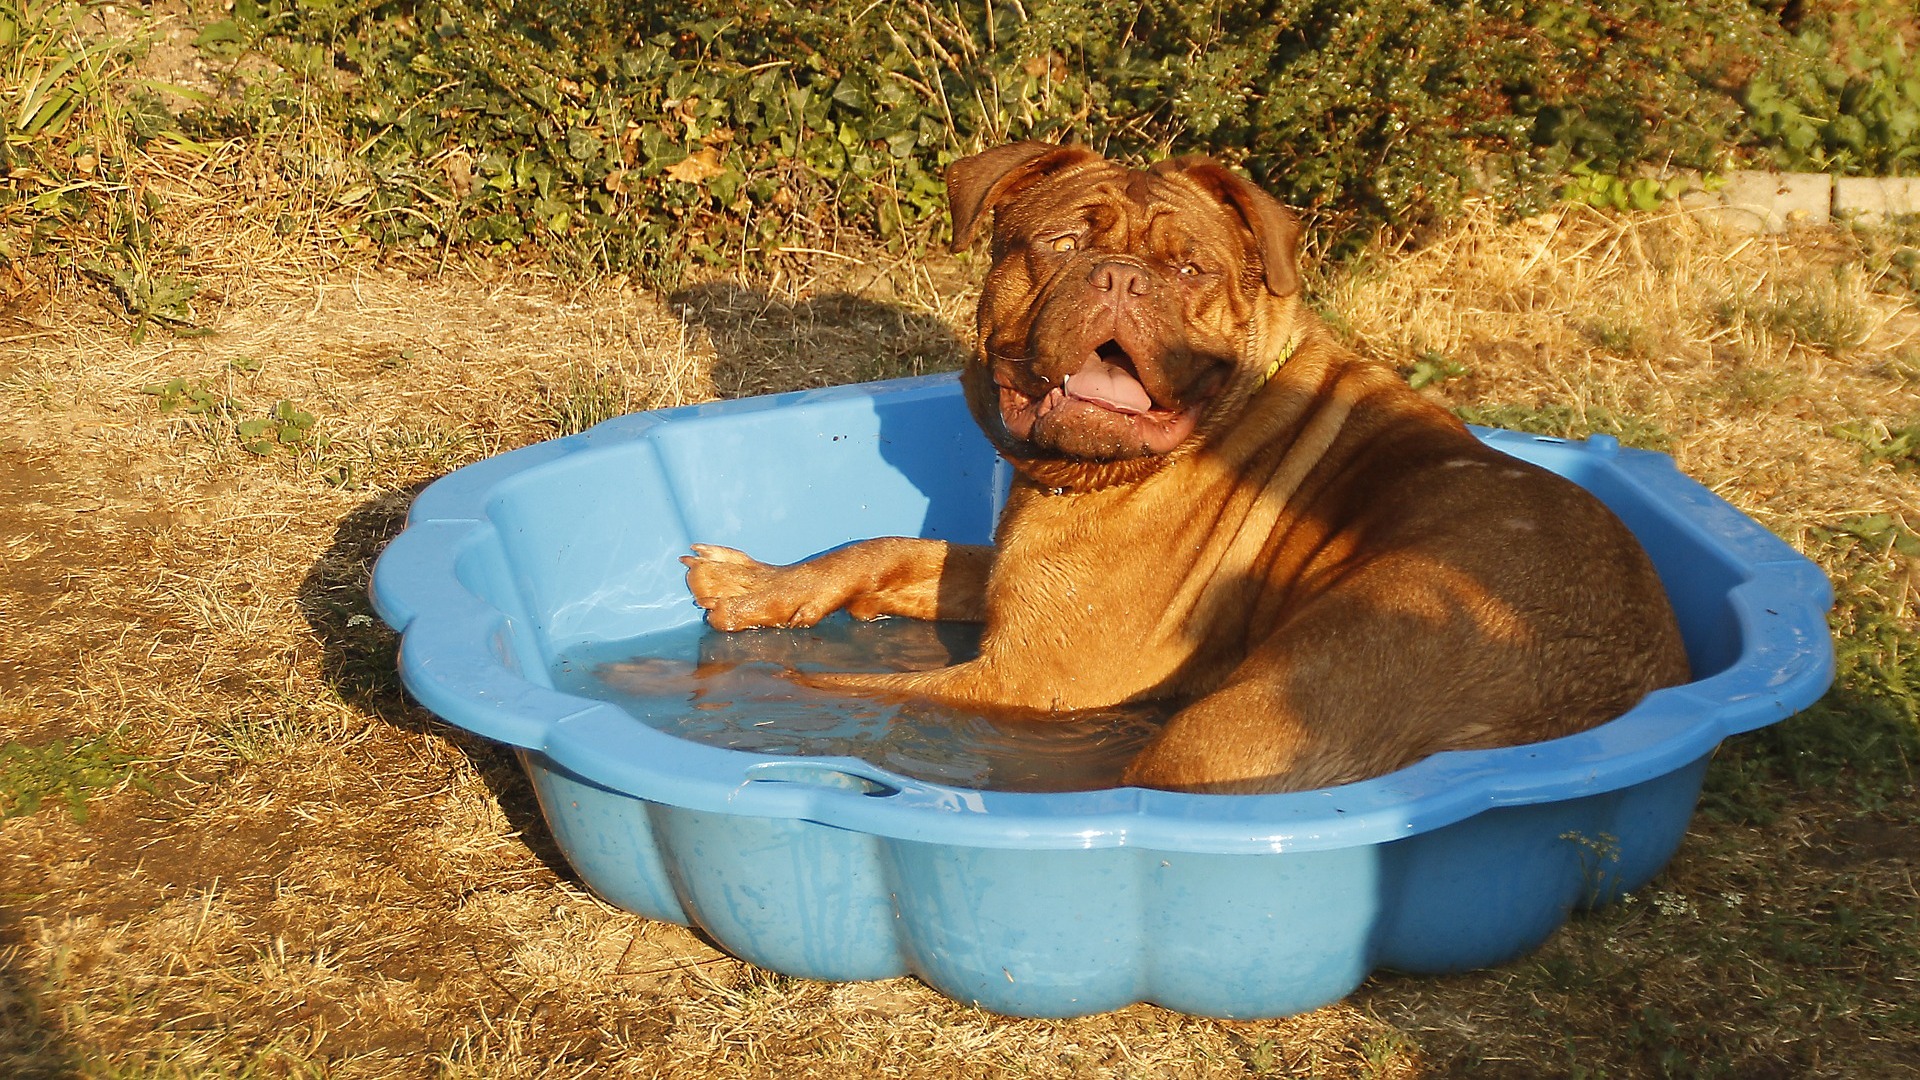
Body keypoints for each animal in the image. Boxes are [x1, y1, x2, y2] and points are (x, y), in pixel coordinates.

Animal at [679, 141, 1681, 791]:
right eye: (1063, 244)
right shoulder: (1013, 583)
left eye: (1191, 268)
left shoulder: (1029, 679)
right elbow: (884, 547)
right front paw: (759, 584)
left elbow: (837, 685)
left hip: (1237, 724)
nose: (1121, 277)